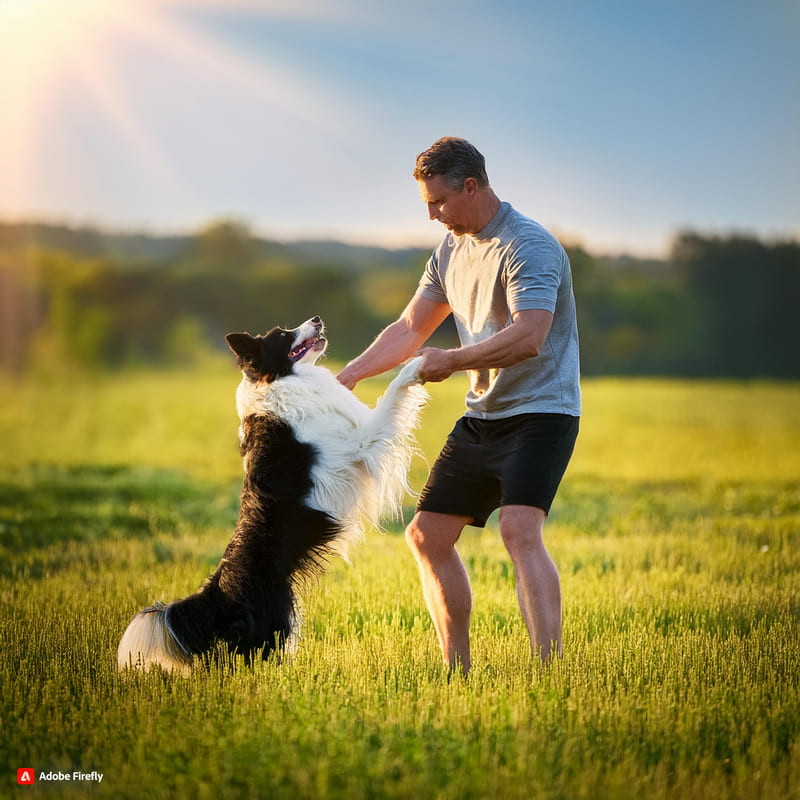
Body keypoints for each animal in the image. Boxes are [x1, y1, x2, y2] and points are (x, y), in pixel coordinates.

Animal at [116, 316, 428, 672]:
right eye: (281, 335)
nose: (317, 319)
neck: (281, 381)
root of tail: (215, 591)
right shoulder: (363, 442)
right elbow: (392, 395)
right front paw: (417, 366)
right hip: (272, 620)